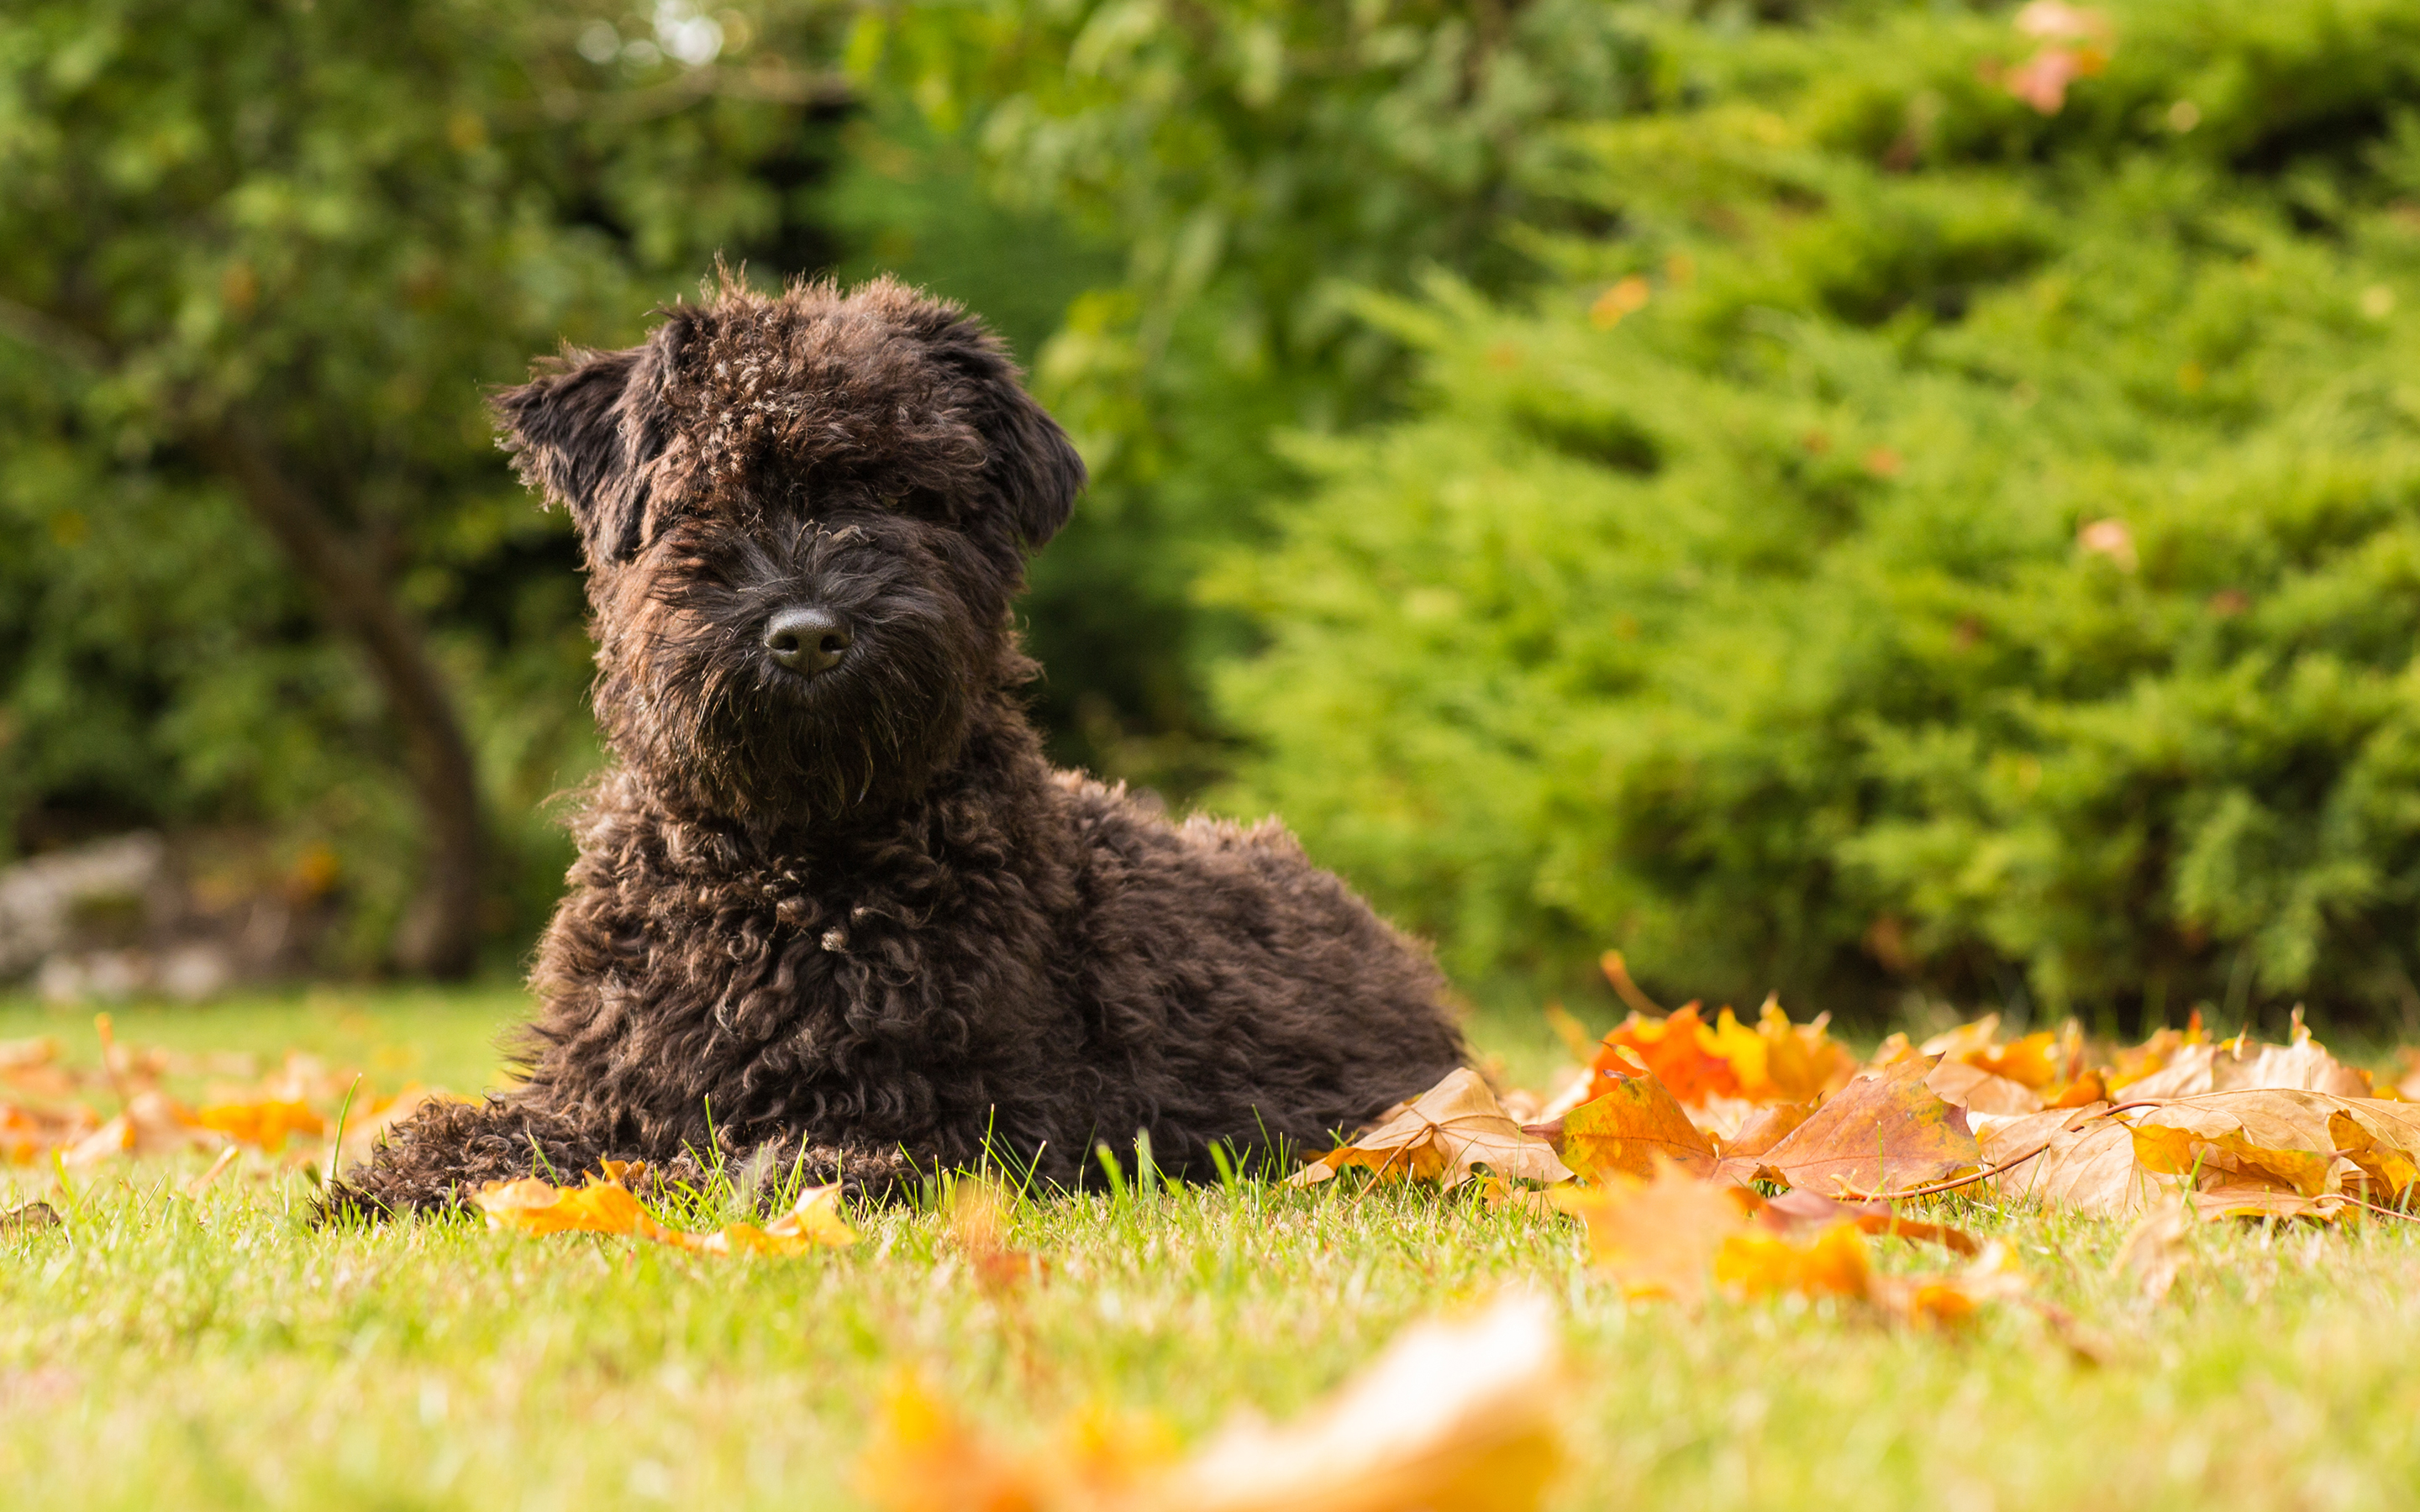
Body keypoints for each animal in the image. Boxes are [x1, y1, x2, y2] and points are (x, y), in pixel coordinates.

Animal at [341, 274, 1461, 1214]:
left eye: (901, 494)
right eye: (711, 492)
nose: (806, 632)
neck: (785, 865)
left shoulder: (954, 1124)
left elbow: (736, 1164)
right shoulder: (601, 1084)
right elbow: (499, 1130)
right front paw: (393, 1179)